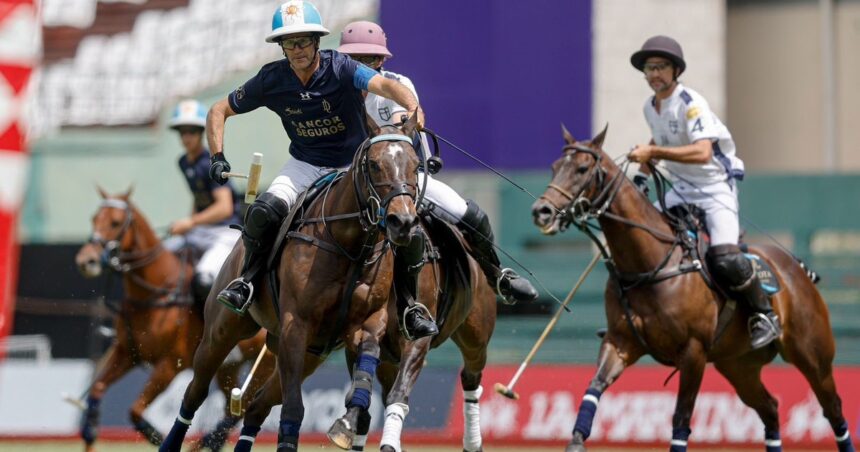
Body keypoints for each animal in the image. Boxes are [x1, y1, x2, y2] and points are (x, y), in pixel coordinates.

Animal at [77, 187, 274, 452]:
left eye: (115, 222)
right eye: (93, 218)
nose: (86, 260)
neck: (155, 292)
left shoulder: (170, 364)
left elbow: (135, 411)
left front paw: (158, 437)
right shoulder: (127, 353)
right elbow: (97, 389)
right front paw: (90, 431)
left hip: (264, 363)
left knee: (241, 410)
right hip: (227, 365)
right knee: (231, 408)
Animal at [157, 114, 434, 452]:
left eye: (415, 165)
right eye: (374, 164)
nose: (403, 222)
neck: (352, 244)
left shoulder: (368, 322)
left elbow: (365, 377)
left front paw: (346, 424)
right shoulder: (296, 324)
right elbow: (293, 409)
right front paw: (218, 166)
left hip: (308, 354)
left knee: (256, 405)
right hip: (222, 332)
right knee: (195, 392)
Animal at [532, 126, 852, 452]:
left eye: (583, 169)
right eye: (554, 167)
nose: (541, 211)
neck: (650, 263)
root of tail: (796, 267)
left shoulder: (693, 351)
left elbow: (681, 418)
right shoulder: (621, 342)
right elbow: (594, 386)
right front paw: (576, 441)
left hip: (812, 355)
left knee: (833, 409)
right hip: (738, 365)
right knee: (771, 408)